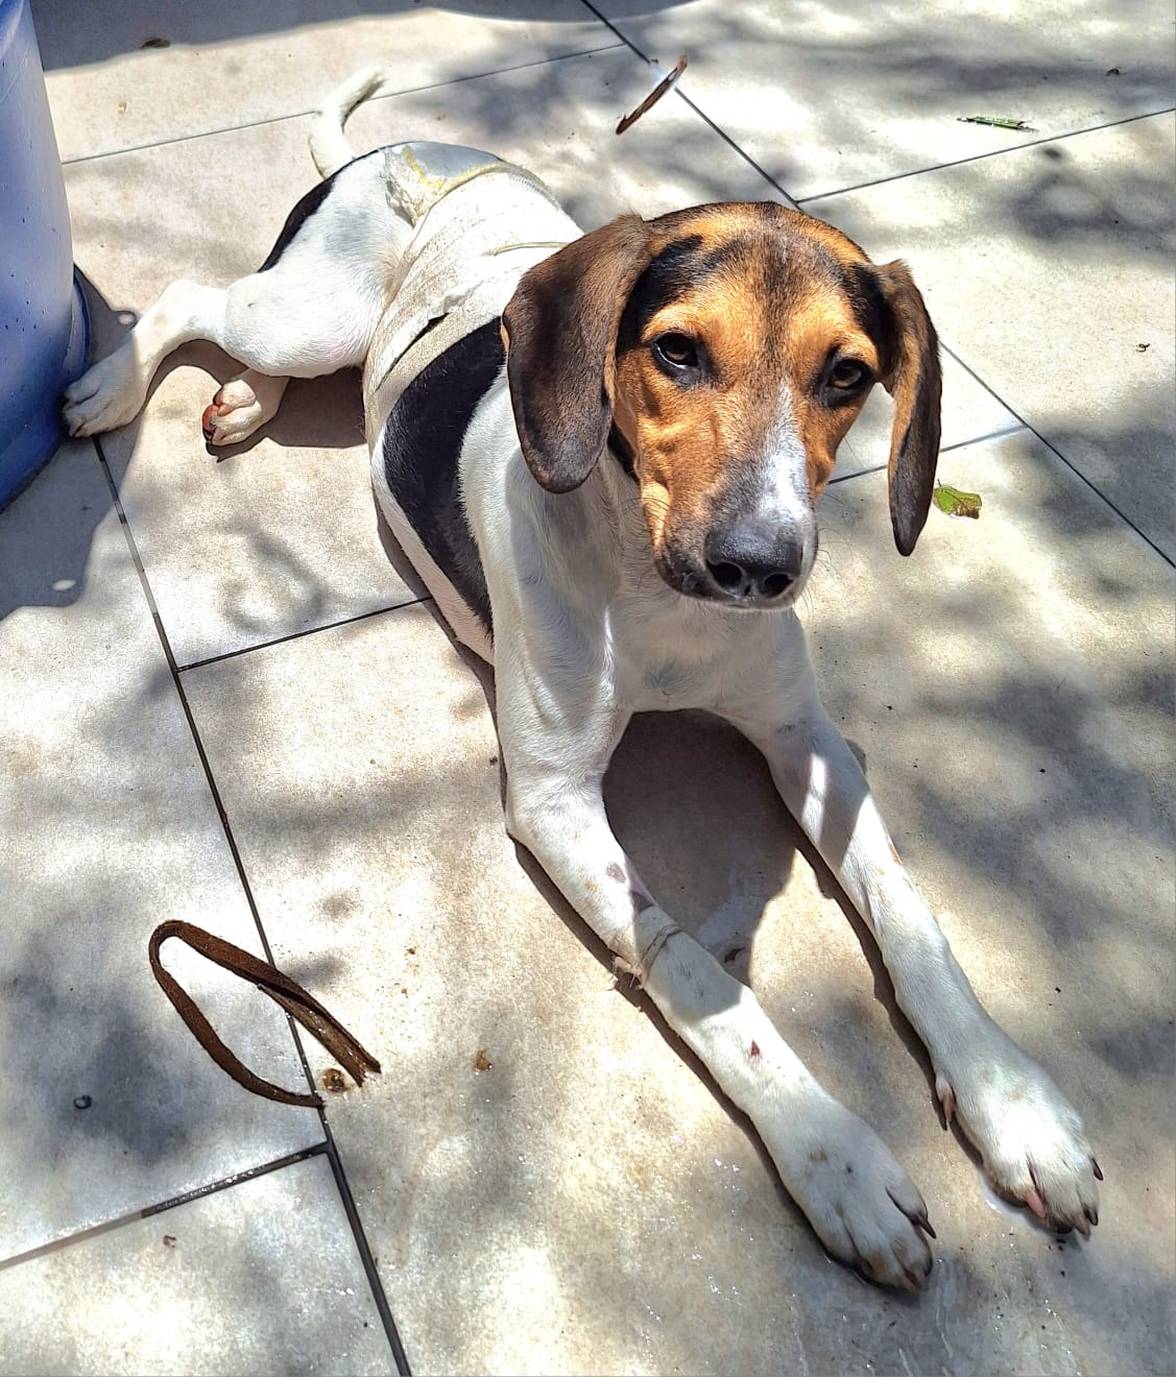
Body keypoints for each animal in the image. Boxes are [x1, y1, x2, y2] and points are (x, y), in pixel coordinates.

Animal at [63, 69, 1100, 1290]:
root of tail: (407, 152)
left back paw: (248, 401)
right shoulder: (555, 803)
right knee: (193, 297)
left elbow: (908, 909)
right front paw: (835, 1154)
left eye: (849, 374)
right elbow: (701, 975)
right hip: (309, 308)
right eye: (678, 352)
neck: (654, 597)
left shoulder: (805, 736)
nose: (758, 565)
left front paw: (1008, 1098)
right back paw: (112, 386)